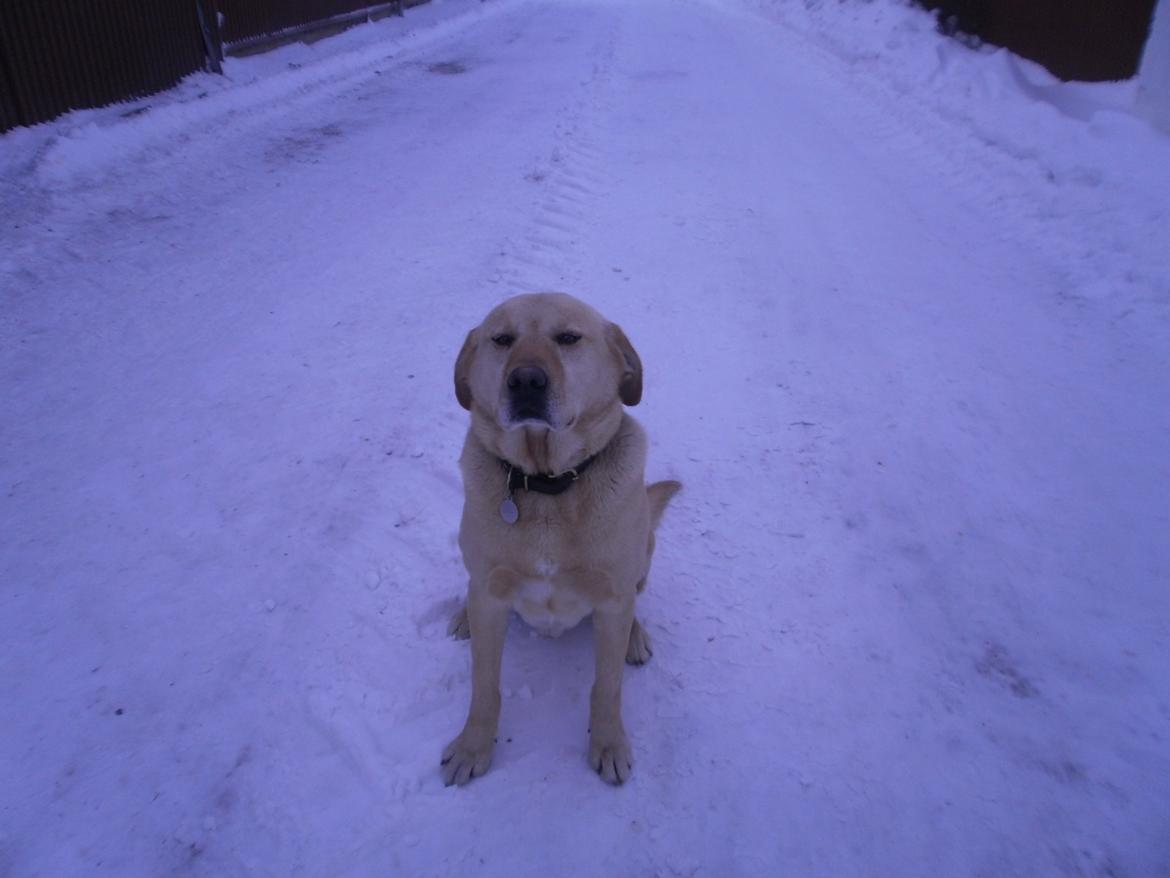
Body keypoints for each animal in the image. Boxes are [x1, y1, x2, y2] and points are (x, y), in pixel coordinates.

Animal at [442, 292, 683, 786]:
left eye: (569, 338)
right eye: (502, 339)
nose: (526, 381)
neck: (546, 485)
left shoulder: (611, 597)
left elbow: (607, 686)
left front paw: (608, 744)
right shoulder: (491, 596)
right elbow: (484, 686)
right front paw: (473, 747)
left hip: (645, 551)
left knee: (635, 599)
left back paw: (635, 636)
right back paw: (461, 615)